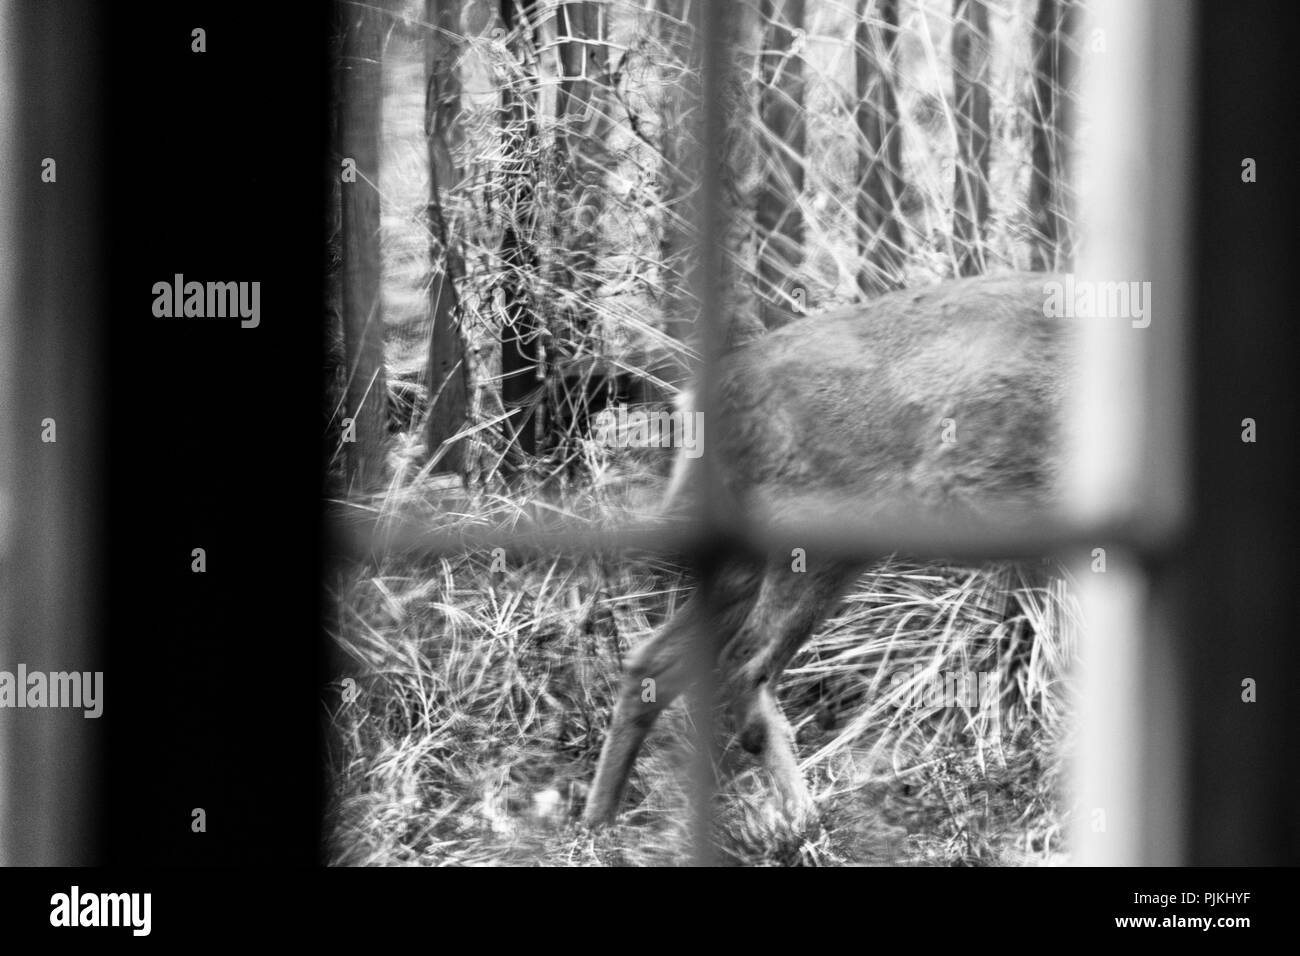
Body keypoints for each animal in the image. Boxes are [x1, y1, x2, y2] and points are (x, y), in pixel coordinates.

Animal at [585, 270, 1081, 832]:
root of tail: (697, 403)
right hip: (814, 532)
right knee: (745, 665)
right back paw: (804, 824)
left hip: (751, 558)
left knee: (654, 661)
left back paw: (598, 821)